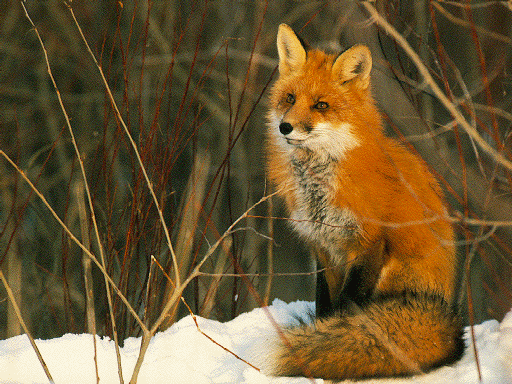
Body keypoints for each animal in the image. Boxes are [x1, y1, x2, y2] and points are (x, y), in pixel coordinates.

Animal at [264, 24, 464, 380]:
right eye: (290, 99)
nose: (285, 127)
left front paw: (327, 343)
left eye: (321, 105)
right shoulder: (323, 248)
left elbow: (345, 308)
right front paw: (321, 335)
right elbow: (325, 307)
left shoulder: (368, 244)